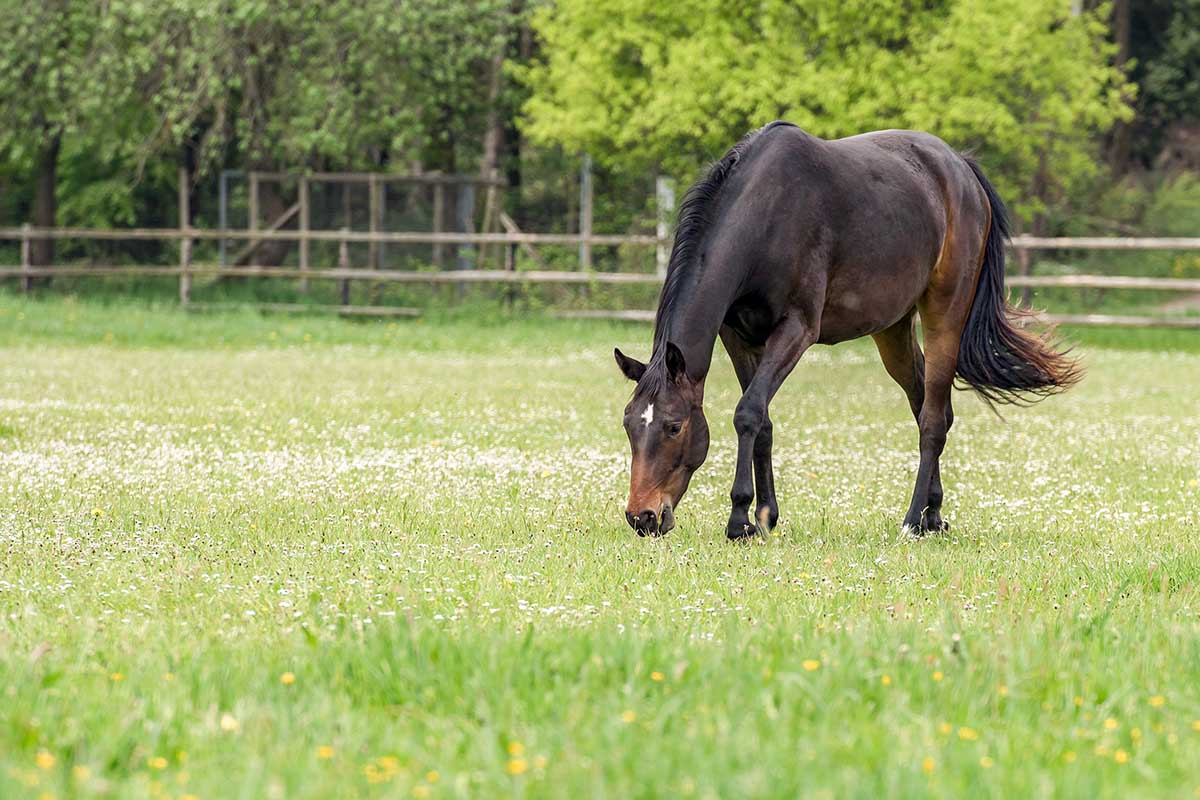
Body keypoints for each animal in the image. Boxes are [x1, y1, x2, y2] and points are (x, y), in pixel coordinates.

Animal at [619, 123, 1080, 537]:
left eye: (674, 426)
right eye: (628, 425)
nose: (642, 517)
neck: (765, 214)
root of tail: (961, 167)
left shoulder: (797, 330)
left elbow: (748, 413)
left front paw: (739, 519)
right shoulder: (738, 337)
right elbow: (762, 420)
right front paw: (765, 516)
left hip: (945, 315)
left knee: (932, 420)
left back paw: (913, 521)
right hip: (893, 330)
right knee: (929, 407)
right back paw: (933, 515)